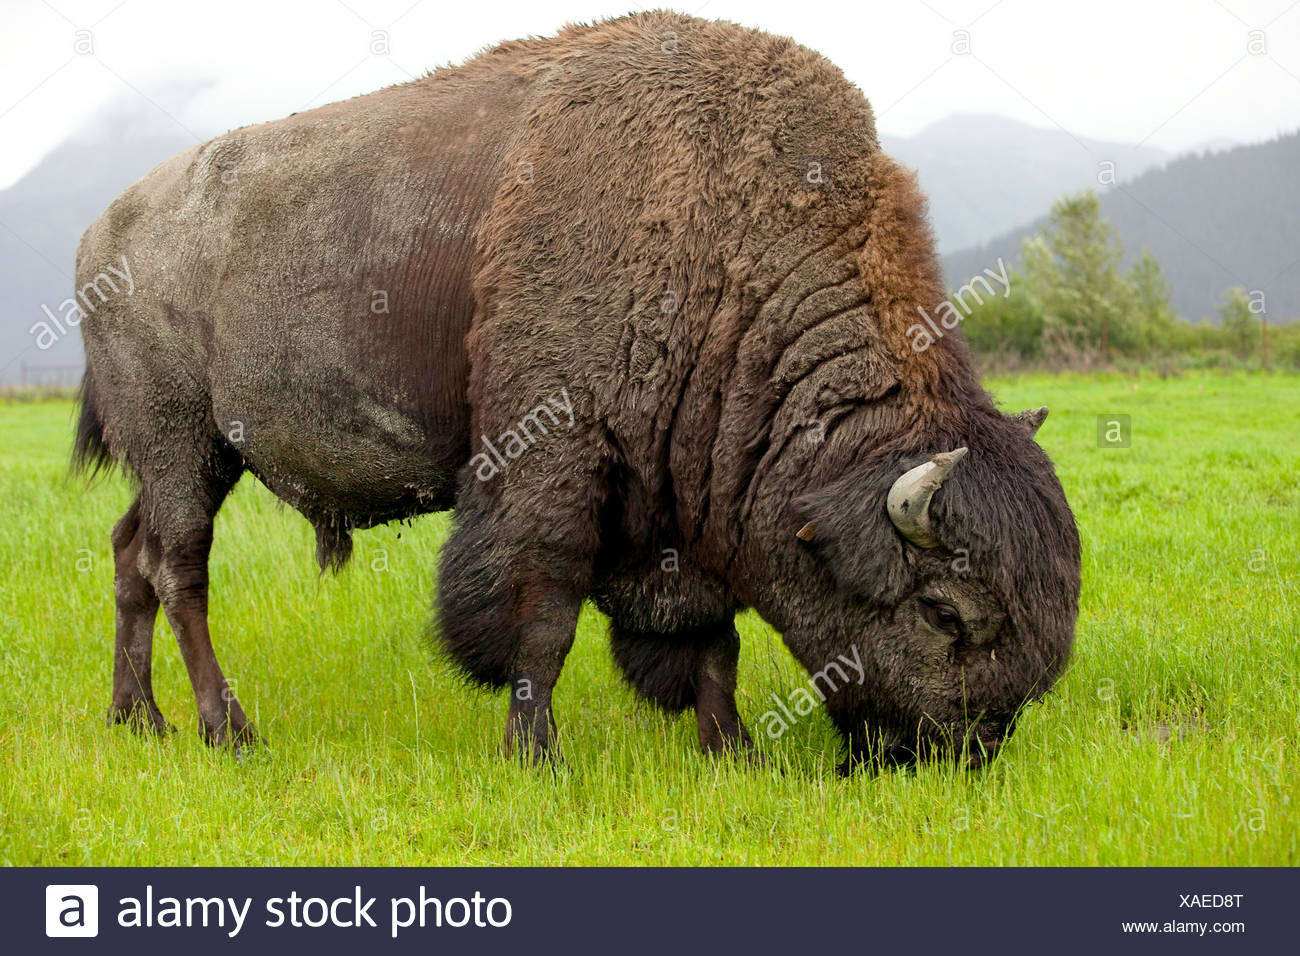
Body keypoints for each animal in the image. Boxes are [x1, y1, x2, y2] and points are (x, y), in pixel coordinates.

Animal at [73, 12, 1080, 771]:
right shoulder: (550, 460)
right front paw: (537, 755)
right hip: (181, 443)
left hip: (192, 459)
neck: (726, 251)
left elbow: (715, 637)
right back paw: (226, 730)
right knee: (180, 570)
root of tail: (100, 235)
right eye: (946, 614)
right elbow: (544, 618)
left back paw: (138, 719)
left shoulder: (687, 493)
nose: (955, 756)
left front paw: (733, 752)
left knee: (130, 554)